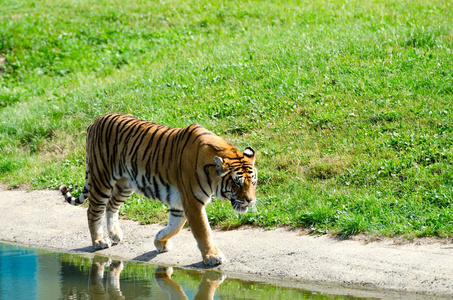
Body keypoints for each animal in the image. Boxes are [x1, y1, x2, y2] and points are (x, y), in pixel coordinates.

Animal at [59, 112, 256, 264]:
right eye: (237, 183)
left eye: (253, 182)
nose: (251, 200)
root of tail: (94, 121)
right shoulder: (192, 202)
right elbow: (203, 231)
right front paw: (213, 257)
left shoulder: (180, 203)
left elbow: (175, 226)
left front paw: (160, 241)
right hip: (102, 179)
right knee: (93, 211)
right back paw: (99, 240)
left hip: (124, 185)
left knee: (111, 206)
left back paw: (115, 234)